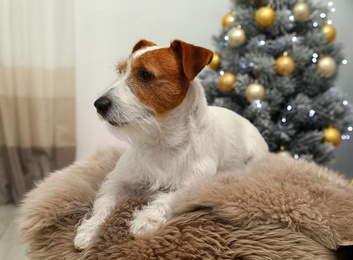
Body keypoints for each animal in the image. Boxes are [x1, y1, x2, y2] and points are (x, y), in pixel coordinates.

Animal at [74, 39, 266, 250]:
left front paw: (146, 220)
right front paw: (89, 229)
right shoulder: (117, 180)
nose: (99, 104)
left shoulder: (193, 184)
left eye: (145, 75)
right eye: (120, 71)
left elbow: (168, 197)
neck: (161, 141)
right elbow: (104, 202)